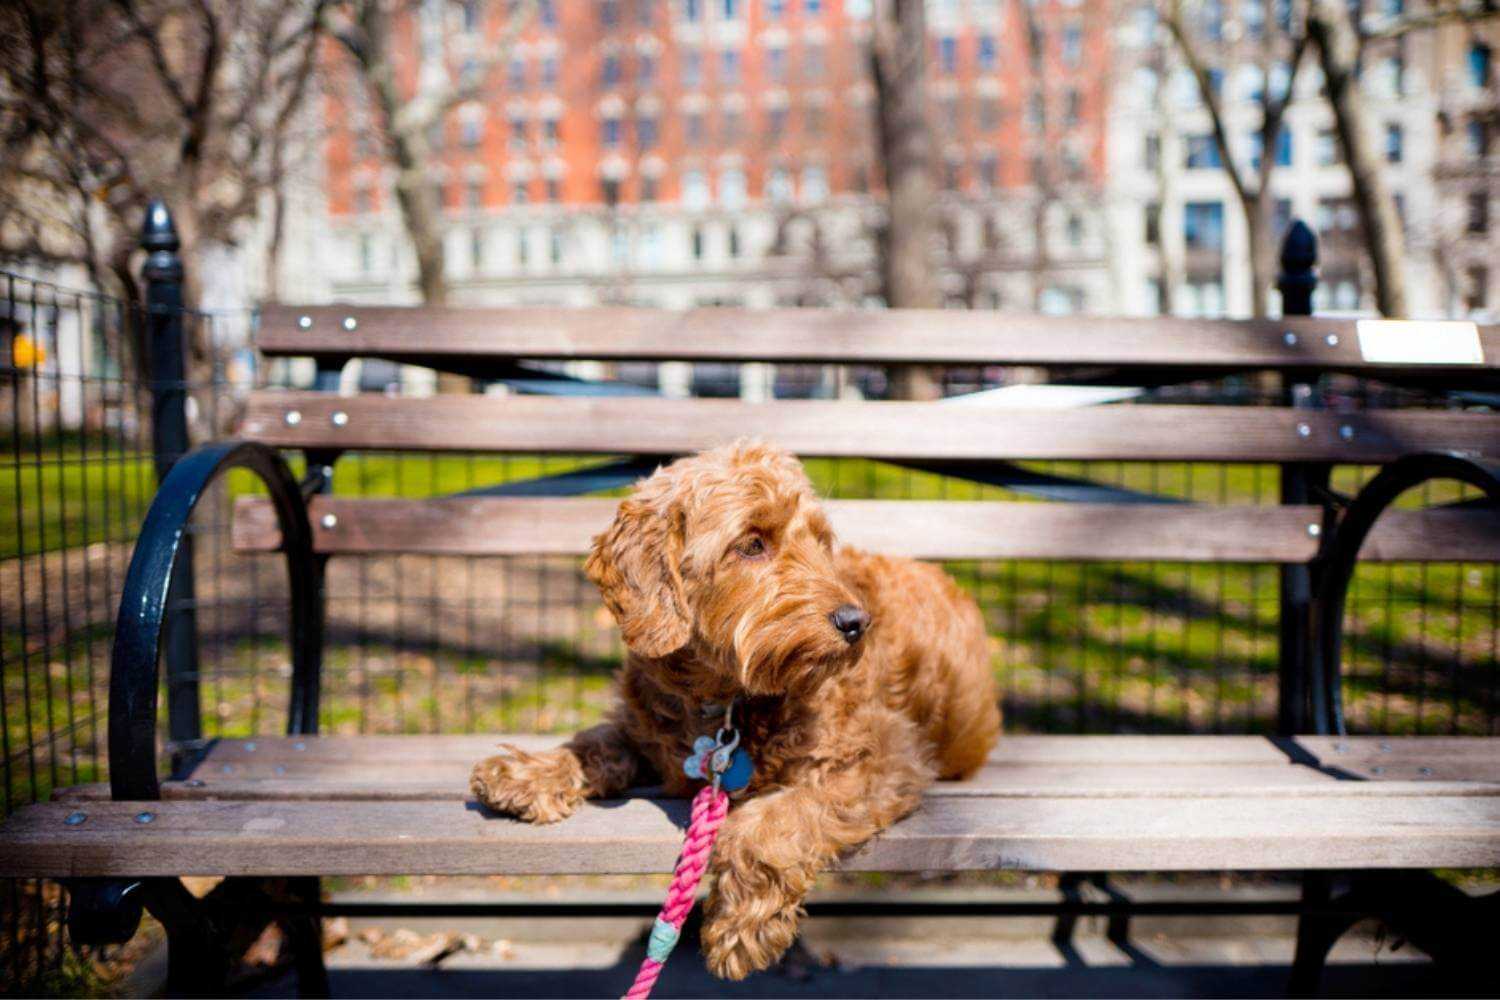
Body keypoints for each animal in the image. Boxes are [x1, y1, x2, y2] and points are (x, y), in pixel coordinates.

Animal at [474, 440, 1002, 983]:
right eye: (752, 544)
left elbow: (776, 819)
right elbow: (599, 740)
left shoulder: (887, 757)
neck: (723, 700)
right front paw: (529, 771)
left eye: (820, 541)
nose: (857, 622)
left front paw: (739, 929)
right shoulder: (648, 729)